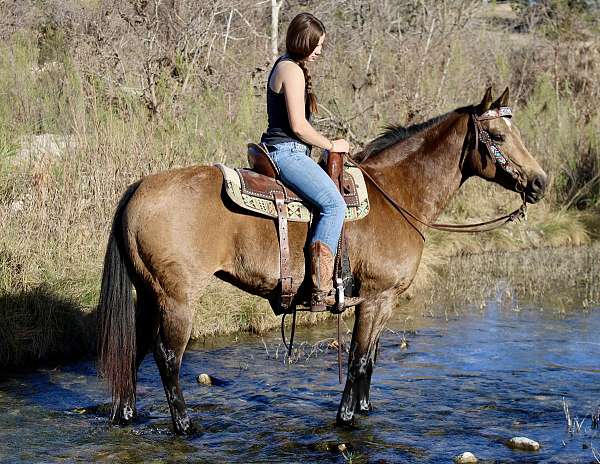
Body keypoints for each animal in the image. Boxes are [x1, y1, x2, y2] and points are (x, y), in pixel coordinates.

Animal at [97, 88, 548, 436]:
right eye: (497, 135)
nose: (540, 182)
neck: (397, 194)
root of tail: (139, 188)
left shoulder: (383, 303)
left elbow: (371, 361)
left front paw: (365, 410)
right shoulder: (376, 299)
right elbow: (359, 359)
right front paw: (346, 418)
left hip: (149, 295)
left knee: (134, 350)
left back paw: (126, 415)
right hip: (178, 300)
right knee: (167, 357)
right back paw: (186, 427)